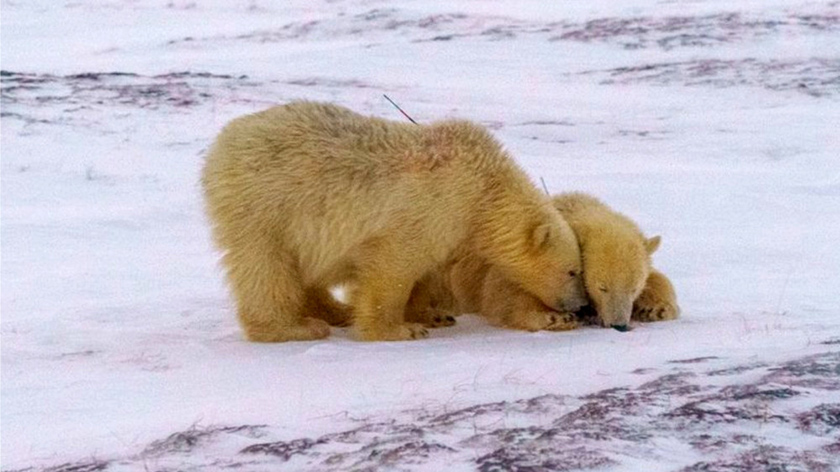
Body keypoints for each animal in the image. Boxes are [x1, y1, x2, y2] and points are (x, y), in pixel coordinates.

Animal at [201, 101, 588, 342]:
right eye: (572, 271)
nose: (581, 306)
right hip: (265, 205)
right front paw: (399, 330)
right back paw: (294, 328)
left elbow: (430, 271)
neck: (483, 183)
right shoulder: (430, 206)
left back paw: (336, 311)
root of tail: (223, 141)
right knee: (266, 268)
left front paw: (431, 315)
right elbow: (395, 266)